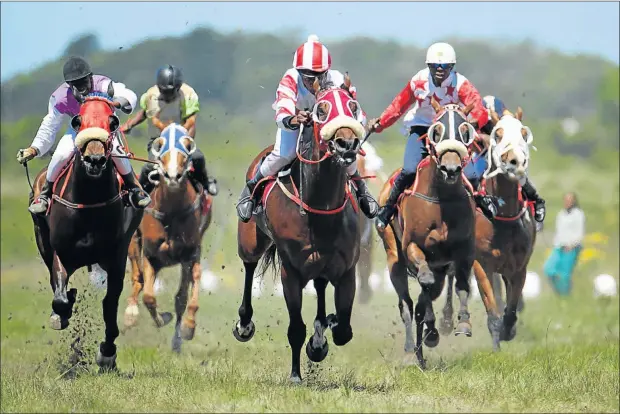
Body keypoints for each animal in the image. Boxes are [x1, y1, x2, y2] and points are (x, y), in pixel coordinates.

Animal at [29, 92, 143, 370]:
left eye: (112, 122)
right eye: (77, 121)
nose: (95, 159)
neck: (89, 203)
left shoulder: (116, 256)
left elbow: (110, 304)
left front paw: (107, 353)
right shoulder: (61, 253)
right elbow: (59, 296)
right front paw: (63, 309)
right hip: (42, 240)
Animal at [121, 123, 213, 352]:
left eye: (188, 146)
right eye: (160, 146)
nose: (173, 176)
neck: (171, 211)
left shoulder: (190, 253)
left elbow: (185, 296)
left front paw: (187, 328)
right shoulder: (151, 254)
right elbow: (148, 297)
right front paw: (163, 317)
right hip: (134, 243)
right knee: (138, 279)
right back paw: (130, 313)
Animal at [232, 77, 368, 382]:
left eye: (353, 106)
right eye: (321, 110)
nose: (347, 143)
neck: (319, 207)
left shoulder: (346, 270)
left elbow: (344, 329)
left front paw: (321, 338)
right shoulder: (291, 272)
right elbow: (296, 328)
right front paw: (296, 374)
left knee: (320, 287)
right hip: (250, 241)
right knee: (249, 266)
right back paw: (244, 324)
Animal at [376, 100, 502, 368]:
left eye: (465, 130)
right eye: (437, 130)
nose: (451, 168)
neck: (441, 198)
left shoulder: (463, 250)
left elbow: (462, 284)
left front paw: (463, 323)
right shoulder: (412, 247)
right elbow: (424, 282)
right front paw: (433, 329)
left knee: (424, 300)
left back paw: (423, 349)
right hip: (393, 256)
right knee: (408, 304)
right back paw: (411, 349)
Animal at [440, 106, 536, 346]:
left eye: (524, 134)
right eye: (498, 135)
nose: (515, 161)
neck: (503, 213)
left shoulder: (519, 267)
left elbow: (510, 309)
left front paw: (509, 330)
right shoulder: (482, 264)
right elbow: (492, 314)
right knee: (453, 275)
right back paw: (447, 320)